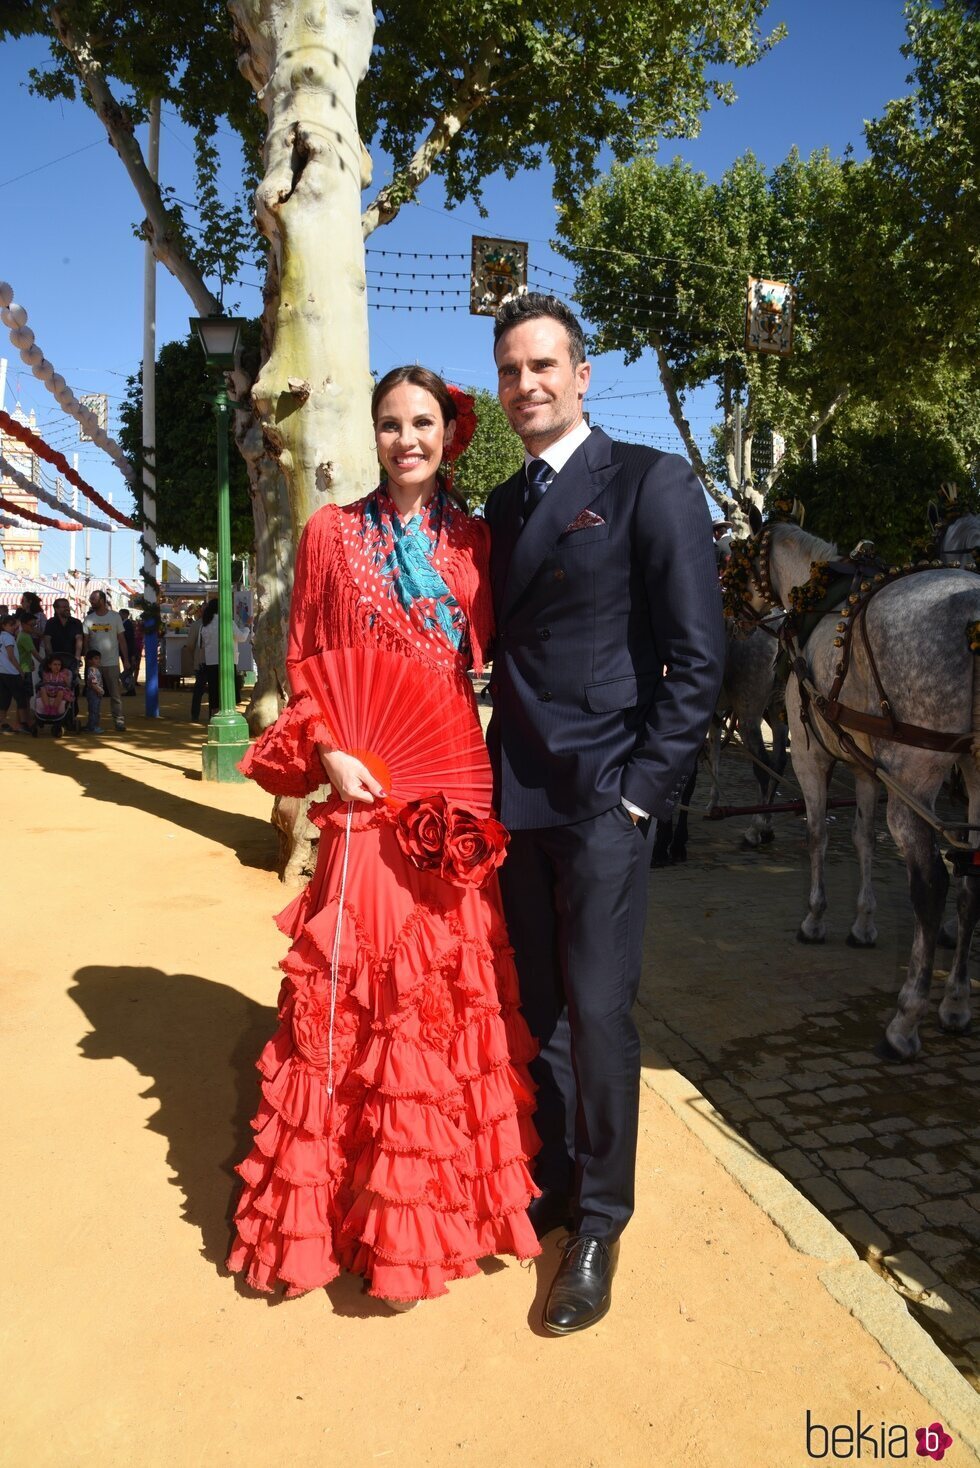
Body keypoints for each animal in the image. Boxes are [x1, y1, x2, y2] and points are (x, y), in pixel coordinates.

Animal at [739, 510, 979, 1062]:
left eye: (736, 556)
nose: (727, 605)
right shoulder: (867, 765)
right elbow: (863, 838)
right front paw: (864, 924)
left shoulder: (811, 755)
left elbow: (818, 836)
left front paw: (815, 919)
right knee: (973, 880)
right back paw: (955, 1003)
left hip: (915, 779)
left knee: (933, 885)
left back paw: (905, 1021)